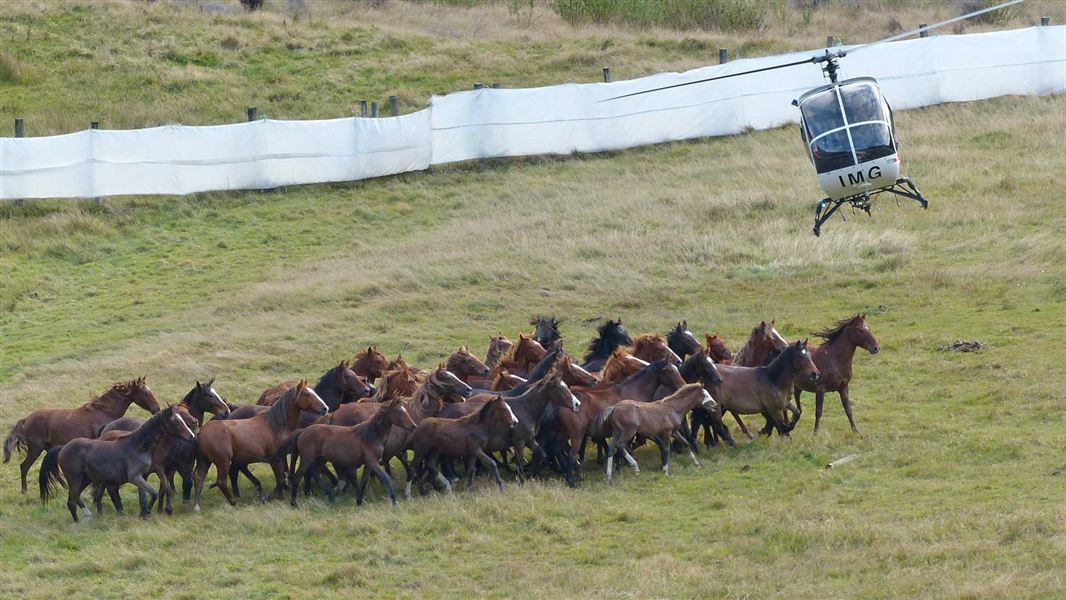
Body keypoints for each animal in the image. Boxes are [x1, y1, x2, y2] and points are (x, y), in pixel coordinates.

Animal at [3, 377, 159, 494]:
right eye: (145, 393)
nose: (156, 409)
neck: (102, 412)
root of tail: (25, 419)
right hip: (35, 449)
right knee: (24, 466)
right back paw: (24, 491)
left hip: (48, 448)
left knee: (54, 470)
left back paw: (65, 487)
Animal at [39, 407, 195, 524]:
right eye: (177, 422)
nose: (192, 436)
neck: (137, 446)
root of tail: (63, 448)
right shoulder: (135, 477)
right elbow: (153, 493)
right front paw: (146, 512)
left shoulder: (146, 475)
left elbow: (155, 492)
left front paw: (145, 512)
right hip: (75, 479)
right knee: (72, 501)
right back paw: (79, 522)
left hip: (85, 479)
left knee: (75, 497)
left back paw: (91, 515)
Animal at [190, 379, 324, 511]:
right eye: (307, 394)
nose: (325, 408)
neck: (275, 425)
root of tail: (201, 433)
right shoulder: (275, 460)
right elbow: (280, 479)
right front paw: (273, 498)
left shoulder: (281, 458)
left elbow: (281, 478)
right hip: (223, 462)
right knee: (221, 481)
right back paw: (234, 502)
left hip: (205, 461)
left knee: (199, 478)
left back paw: (197, 506)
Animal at [283, 398, 415, 507]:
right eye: (400, 411)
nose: (413, 426)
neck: (370, 436)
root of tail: (302, 431)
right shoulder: (372, 462)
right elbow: (387, 478)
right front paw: (394, 500)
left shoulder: (368, 465)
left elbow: (363, 482)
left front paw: (359, 500)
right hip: (307, 459)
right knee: (298, 476)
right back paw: (294, 503)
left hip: (320, 459)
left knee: (315, 474)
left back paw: (331, 496)